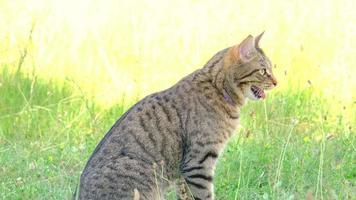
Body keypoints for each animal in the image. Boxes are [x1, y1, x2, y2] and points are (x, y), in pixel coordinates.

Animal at [77, 32, 278, 199]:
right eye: (264, 71)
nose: (276, 82)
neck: (217, 89)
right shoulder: (198, 163)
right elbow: (204, 195)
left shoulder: (184, 173)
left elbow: (186, 195)